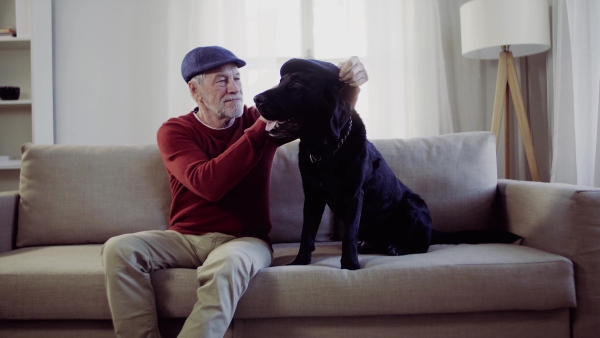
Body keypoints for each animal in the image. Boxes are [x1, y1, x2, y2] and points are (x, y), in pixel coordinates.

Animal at [253, 58, 520, 270]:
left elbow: (348, 235)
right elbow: (306, 233)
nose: (256, 98)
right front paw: (300, 262)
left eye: (296, 86)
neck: (326, 150)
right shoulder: (312, 197)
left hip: (413, 205)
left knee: (422, 246)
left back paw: (397, 248)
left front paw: (350, 266)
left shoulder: (354, 195)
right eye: (280, 81)